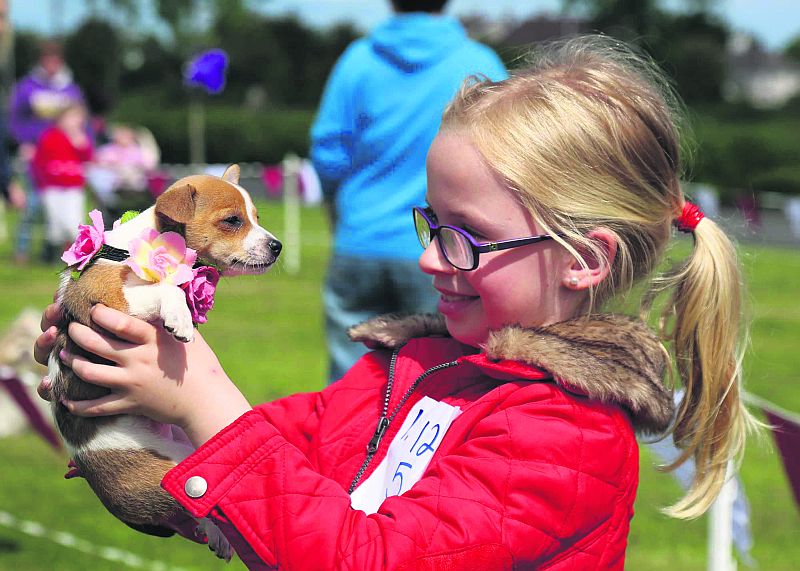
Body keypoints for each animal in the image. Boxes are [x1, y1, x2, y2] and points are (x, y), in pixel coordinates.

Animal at [49, 163, 282, 560]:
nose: (277, 246)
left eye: (256, 217)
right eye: (233, 220)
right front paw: (180, 319)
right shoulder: (109, 300)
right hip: (166, 471)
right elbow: (165, 289)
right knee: (194, 504)